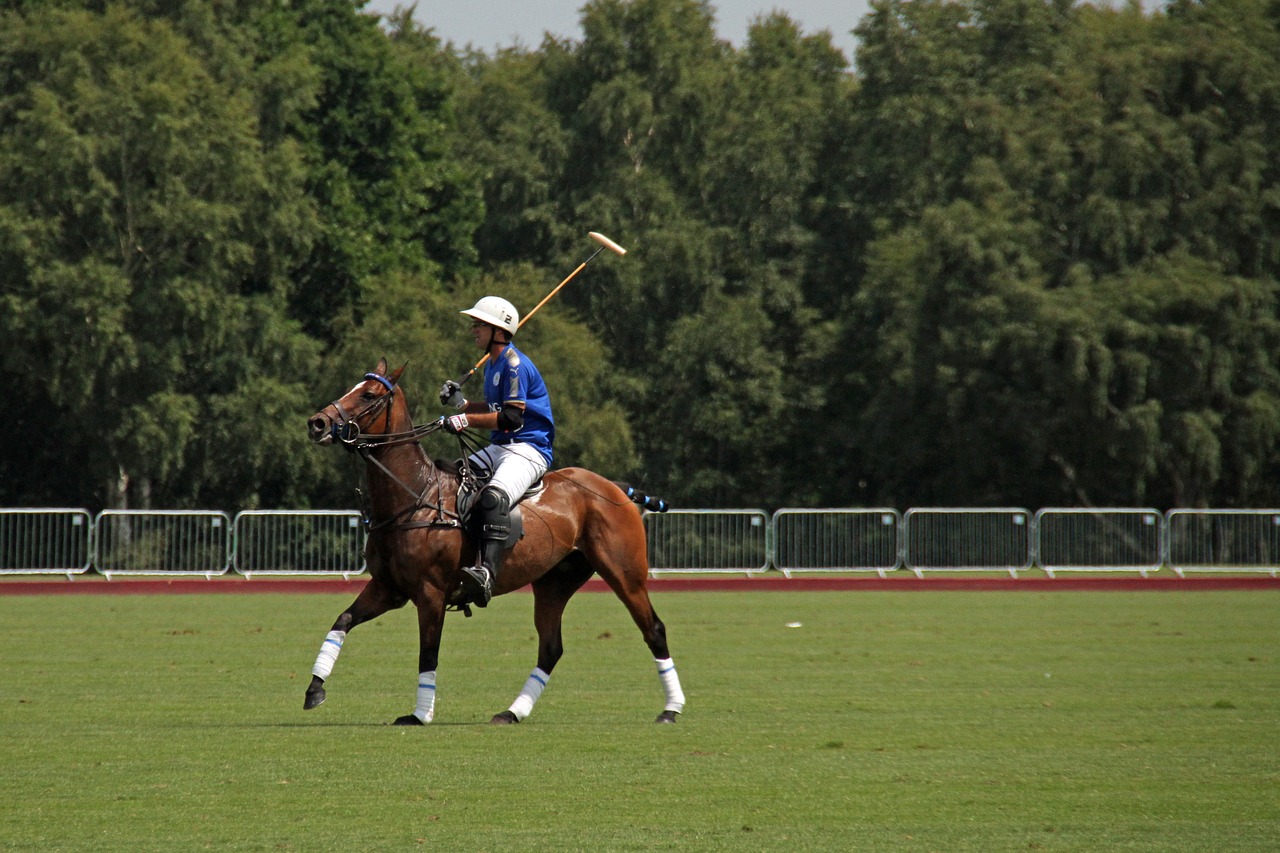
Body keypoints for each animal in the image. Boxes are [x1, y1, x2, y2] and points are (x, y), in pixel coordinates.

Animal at [300, 358, 686, 722]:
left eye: (368, 395)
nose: (317, 423)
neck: (415, 496)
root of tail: (615, 487)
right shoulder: (388, 588)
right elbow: (342, 621)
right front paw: (314, 689)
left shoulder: (430, 593)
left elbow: (429, 653)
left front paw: (420, 715)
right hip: (555, 581)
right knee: (551, 647)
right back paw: (512, 712)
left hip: (624, 571)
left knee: (654, 629)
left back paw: (672, 708)